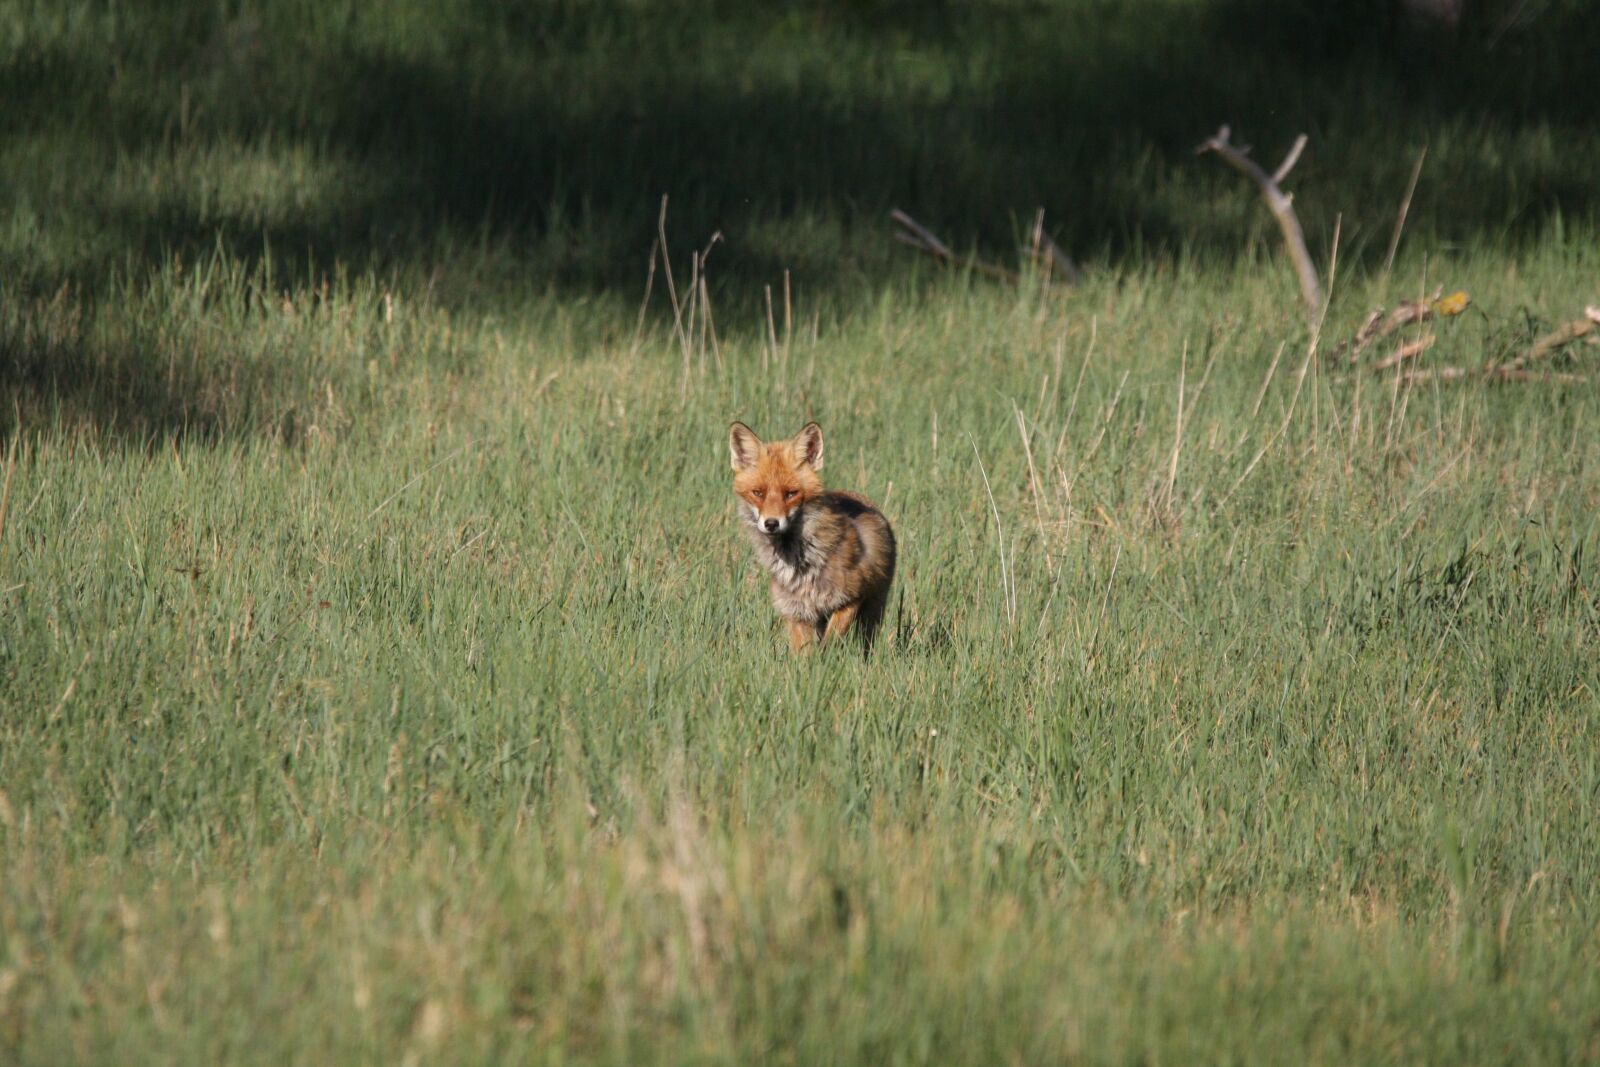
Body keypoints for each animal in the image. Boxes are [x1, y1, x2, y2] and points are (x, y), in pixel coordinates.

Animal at [728, 420, 896, 653]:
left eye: (791, 493)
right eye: (758, 493)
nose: (771, 523)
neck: (802, 564)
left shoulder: (851, 599)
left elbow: (830, 645)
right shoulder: (797, 612)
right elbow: (806, 656)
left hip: (872, 612)